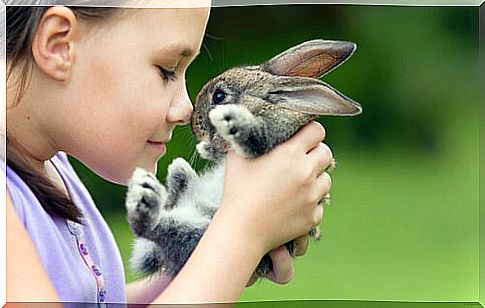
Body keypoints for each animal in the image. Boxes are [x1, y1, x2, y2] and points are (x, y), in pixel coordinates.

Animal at [126, 38, 362, 280]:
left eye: (219, 96)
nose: (194, 125)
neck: (262, 106)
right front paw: (207, 147)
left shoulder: (270, 134)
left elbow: (253, 136)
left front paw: (229, 120)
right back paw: (170, 178)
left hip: (202, 235)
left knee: (153, 228)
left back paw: (148, 199)